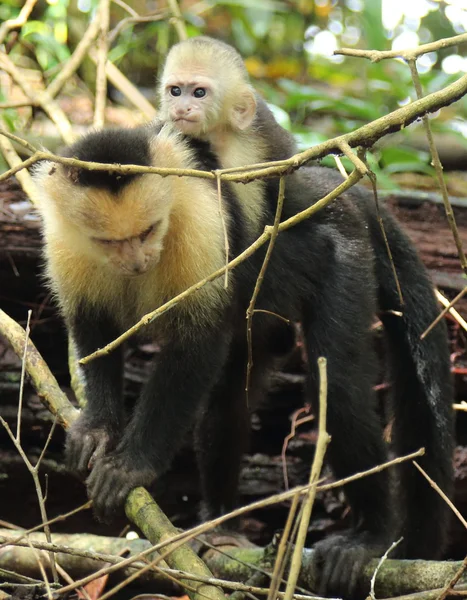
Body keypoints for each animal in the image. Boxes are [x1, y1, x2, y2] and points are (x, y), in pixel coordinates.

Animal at [34, 123, 456, 600]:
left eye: (149, 230)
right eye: (109, 241)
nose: (139, 262)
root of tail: (334, 190)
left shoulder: (201, 217)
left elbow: (197, 343)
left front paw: (132, 465)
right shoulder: (64, 244)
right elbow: (95, 333)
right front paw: (98, 428)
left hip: (346, 250)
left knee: (340, 392)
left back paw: (370, 536)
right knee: (228, 398)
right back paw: (220, 523)